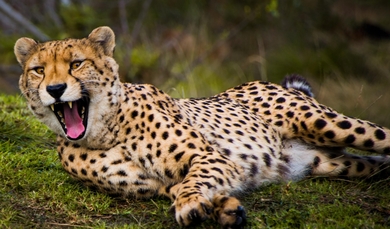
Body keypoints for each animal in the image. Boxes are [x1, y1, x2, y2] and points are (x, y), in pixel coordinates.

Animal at [14, 26, 390, 227]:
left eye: (76, 64)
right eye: (38, 70)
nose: (55, 89)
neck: (106, 132)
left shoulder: (210, 157)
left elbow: (193, 183)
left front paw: (195, 205)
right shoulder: (159, 185)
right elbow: (183, 187)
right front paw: (224, 209)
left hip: (325, 122)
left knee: (380, 135)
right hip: (331, 163)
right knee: (376, 164)